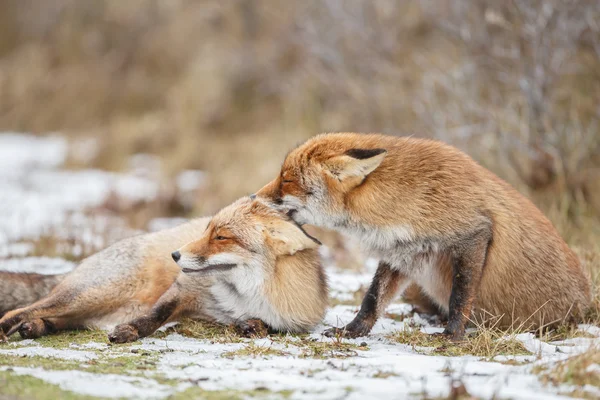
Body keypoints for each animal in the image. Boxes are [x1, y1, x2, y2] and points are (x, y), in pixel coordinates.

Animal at [0, 198, 328, 342]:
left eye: (221, 237)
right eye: (207, 229)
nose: (175, 255)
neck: (246, 295)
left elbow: (263, 326)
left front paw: (250, 326)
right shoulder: (185, 289)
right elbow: (156, 315)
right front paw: (130, 332)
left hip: (90, 308)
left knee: (58, 320)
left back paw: (36, 327)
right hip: (90, 294)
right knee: (25, 308)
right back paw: (12, 326)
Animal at [254, 133, 592, 340]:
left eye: (287, 179)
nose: (254, 196)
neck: (412, 198)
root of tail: (586, 305)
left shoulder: (474, 233)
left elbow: (460, 296)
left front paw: (453, 336)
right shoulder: (404, 251)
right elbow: (372, 299)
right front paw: (352, 331)